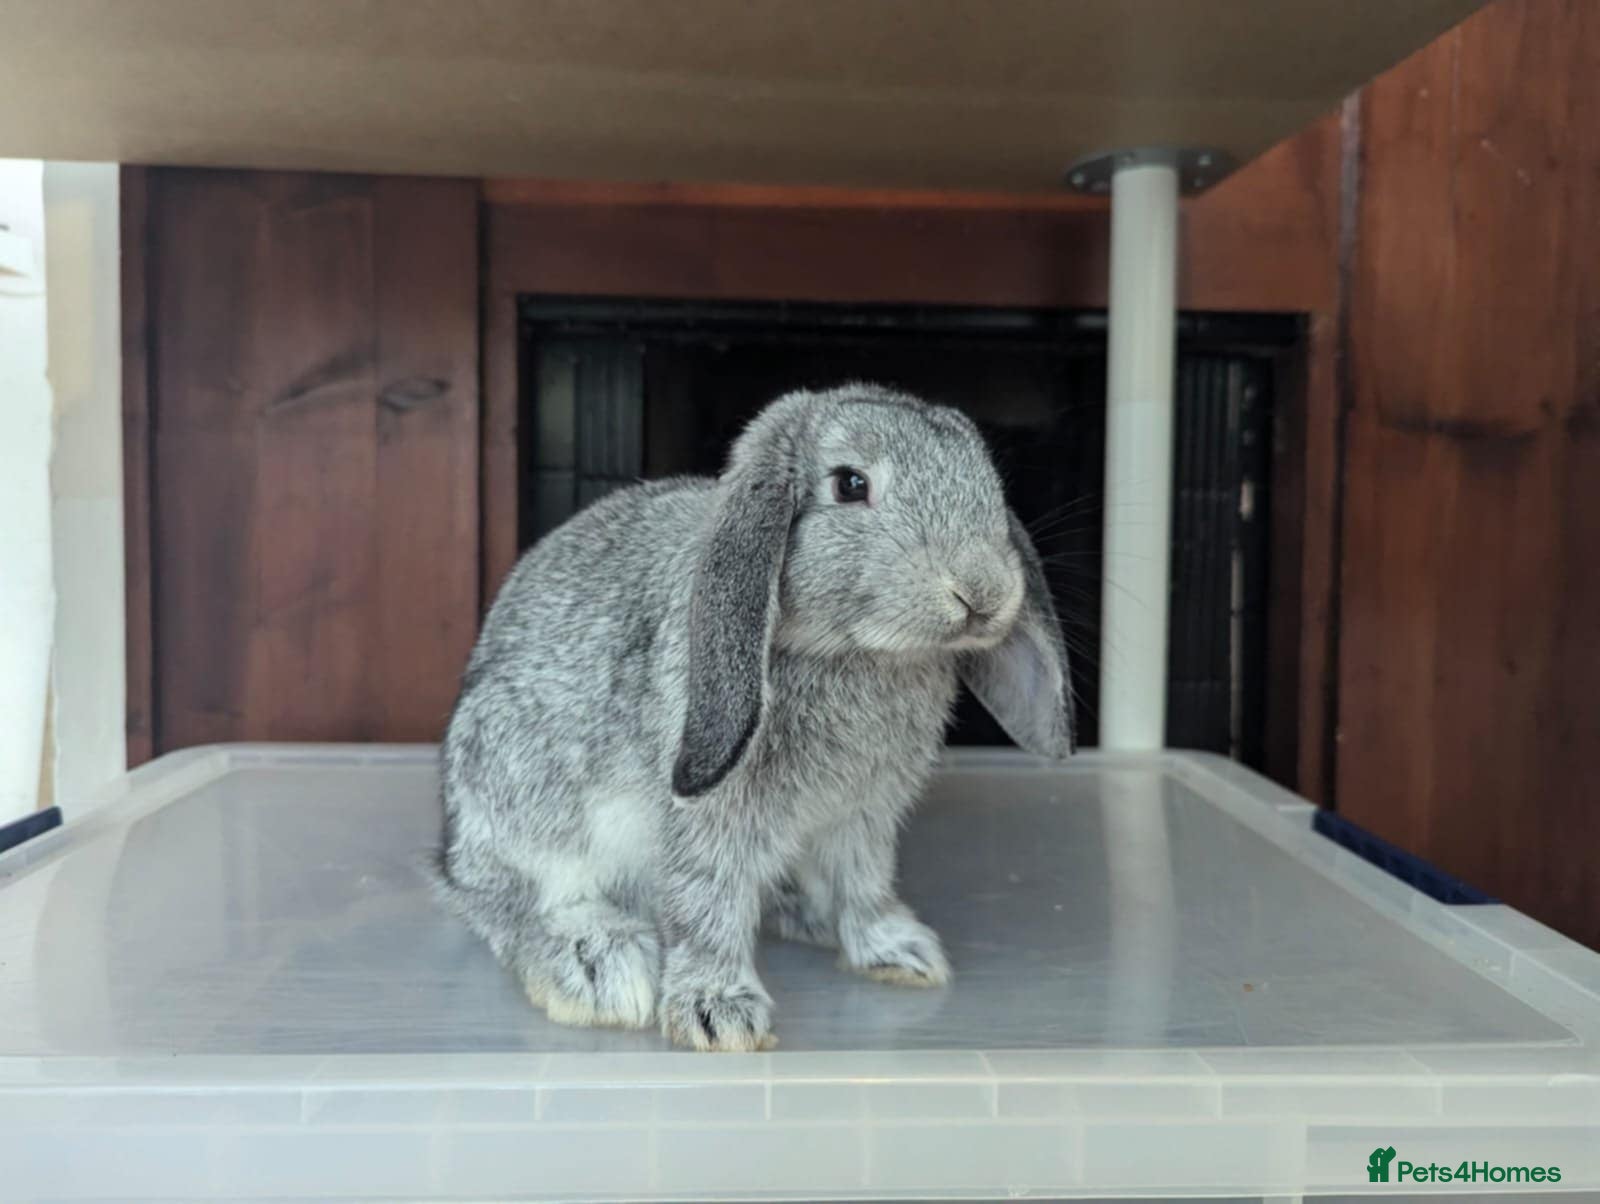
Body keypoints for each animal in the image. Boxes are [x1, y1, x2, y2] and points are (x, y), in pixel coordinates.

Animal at [435, 383, 1074, 1051]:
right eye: (850, 484)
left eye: (988, 480)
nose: (983, 591)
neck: (851, 653)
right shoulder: (710, 818)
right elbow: (706, 903)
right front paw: (719, 1016)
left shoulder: (863, 816)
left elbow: (865, 884)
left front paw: (900, 954)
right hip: (520, 796)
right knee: (510, 901)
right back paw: (597, 966)